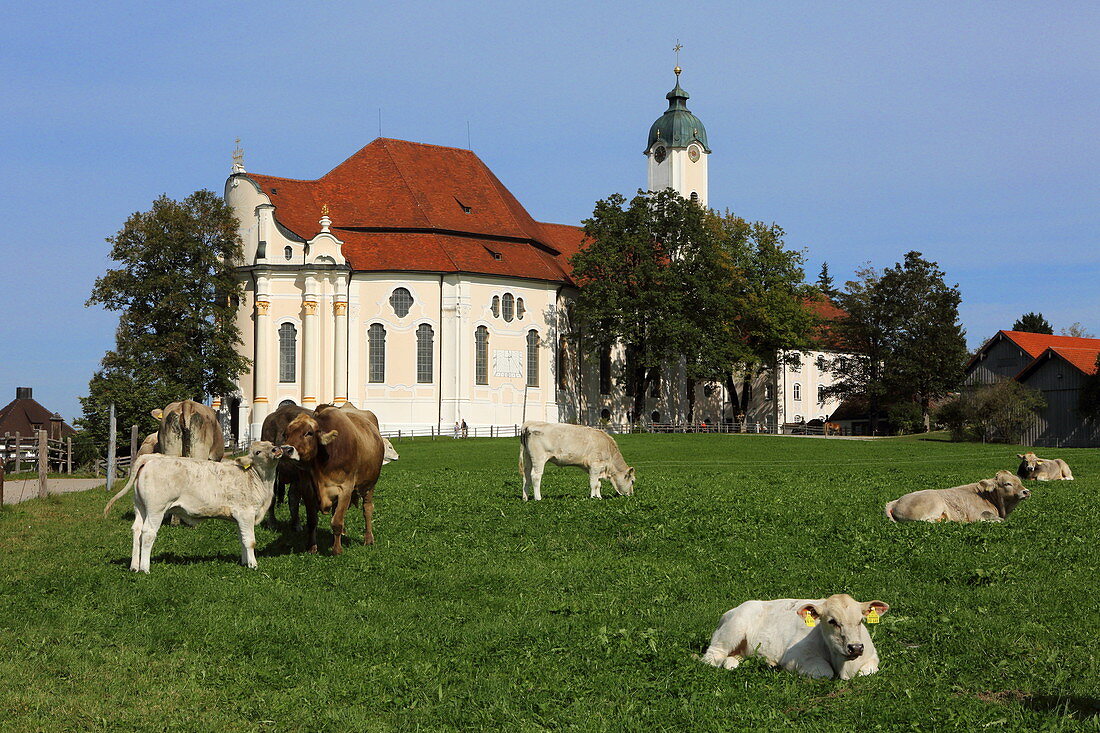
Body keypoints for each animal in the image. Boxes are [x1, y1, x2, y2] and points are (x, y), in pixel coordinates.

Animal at [103, 440, 283, 572]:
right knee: (148, 533)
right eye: (258, 452)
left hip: (140, 507)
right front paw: (253, 565)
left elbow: (242, 539)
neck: (259, 480)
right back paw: (144, 568)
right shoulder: (245, 513)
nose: (276, 449)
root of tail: (151, 458)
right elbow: (250, 541)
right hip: (156, 509)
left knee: (137, 530)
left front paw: (245, 562)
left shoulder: (239, 518)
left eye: (271, 443)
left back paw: (134, 566)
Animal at [277, 405, 385, 554]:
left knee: (367, 509)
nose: (286, 450)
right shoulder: (307, 489)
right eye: (286, 434)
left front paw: (337, 550)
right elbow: (312, 521)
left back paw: (368, 539)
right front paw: (312, 547)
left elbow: (337, 522)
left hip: (369, 484)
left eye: (309, 433)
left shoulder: (345, 489)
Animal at [699, 589, 888, 677]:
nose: (855, 647)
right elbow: (824, 672)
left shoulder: (872, 657)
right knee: (712, 657)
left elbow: (868, 670)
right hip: (733, 629)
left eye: (860, 620)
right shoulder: (797, 656)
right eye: (832, 621)